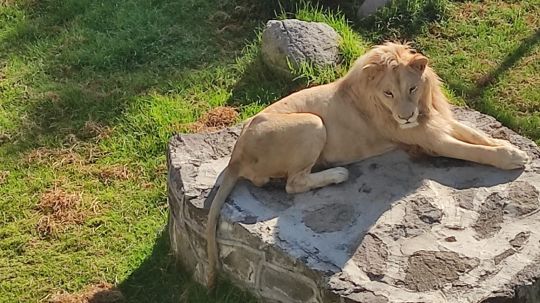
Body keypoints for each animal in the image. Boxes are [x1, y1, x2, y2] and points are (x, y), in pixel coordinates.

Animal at [204, 41, 528, 288]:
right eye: (389, 93)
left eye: (412, 89)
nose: (406, 117)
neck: (423, 108)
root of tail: (236, 157)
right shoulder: (427, 138)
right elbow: (471, 150)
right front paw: (512, 158)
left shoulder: (436, 120)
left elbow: (477, 135)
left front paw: (508, 146)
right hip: (313, 123)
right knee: (293, 184)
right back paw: (337, 173)